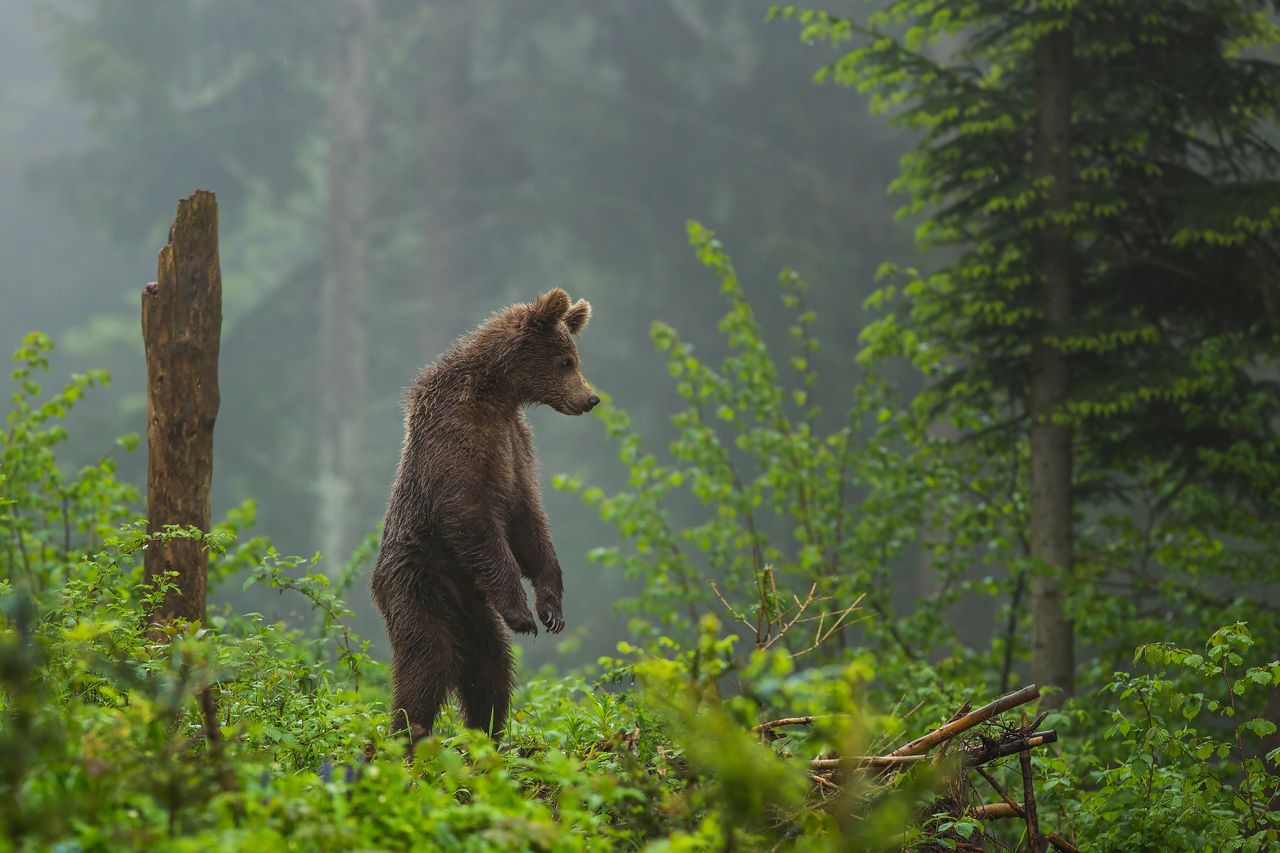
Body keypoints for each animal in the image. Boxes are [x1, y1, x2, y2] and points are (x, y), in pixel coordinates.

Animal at [366, 285, 593, 737]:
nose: (591, 398)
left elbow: (529, 521)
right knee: (427, 661)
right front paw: (523, 613)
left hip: (473, 610)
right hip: (418, 582)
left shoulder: (516, 444)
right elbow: (470, 515)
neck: (498, 393)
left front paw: (551, 610)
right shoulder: (457, 438)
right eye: (566, 361)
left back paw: (487, 732)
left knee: (491, 666)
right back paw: (405, 734)